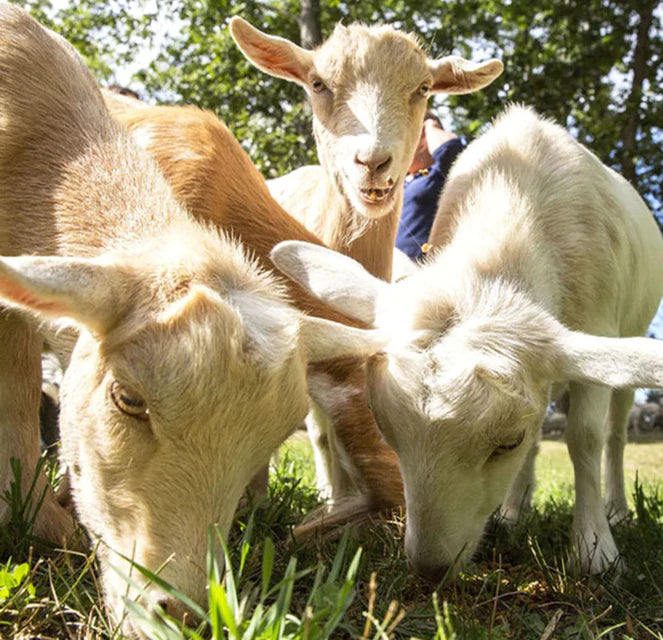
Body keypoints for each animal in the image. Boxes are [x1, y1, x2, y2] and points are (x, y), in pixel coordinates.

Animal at [270, 106, 663, 580]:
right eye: (387, 432)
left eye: (506, 442)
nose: (430, 568)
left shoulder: (599, 324)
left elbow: (584, 438)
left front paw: (595, 549)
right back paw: (514, 510)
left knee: (615, 433)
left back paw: (618, 509)